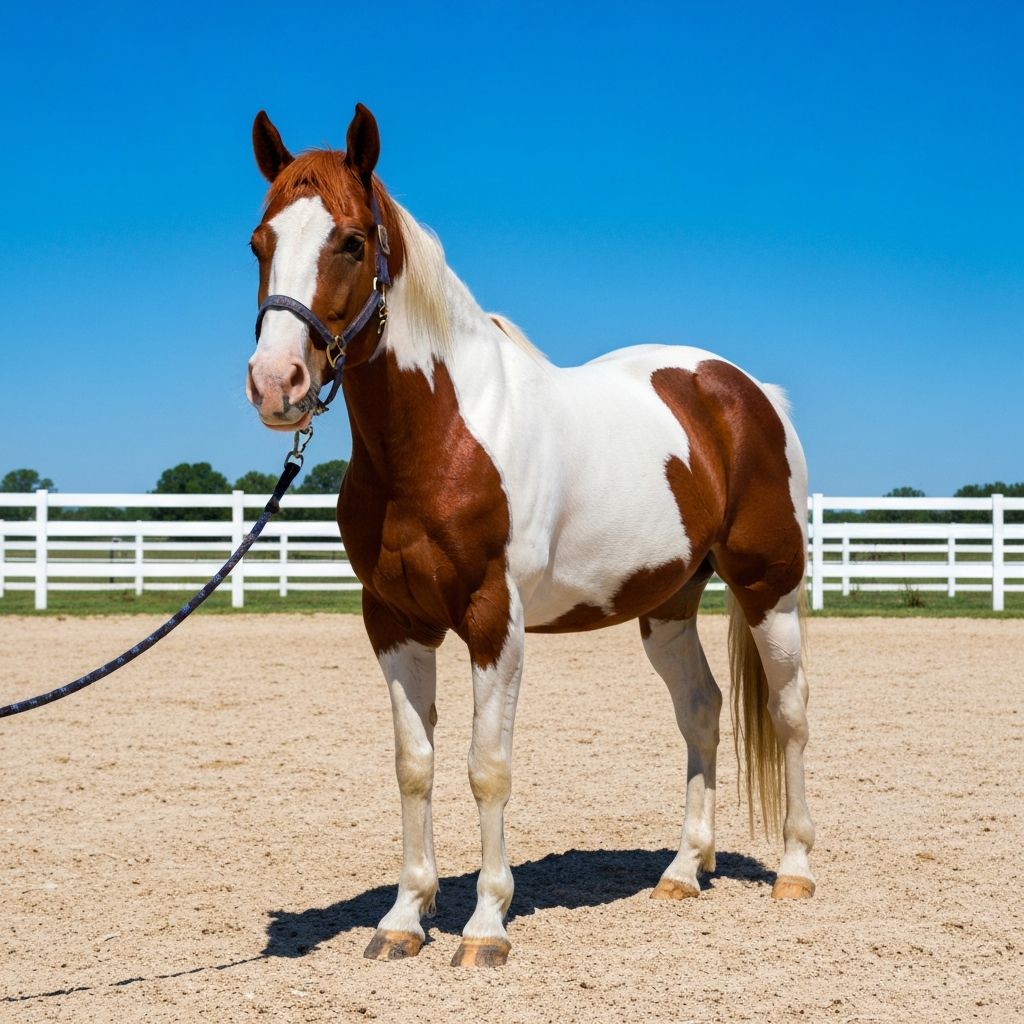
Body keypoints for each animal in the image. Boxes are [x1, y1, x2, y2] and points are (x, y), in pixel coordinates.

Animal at [245, 104, 815, 967]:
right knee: (701, 709)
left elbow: (487, 766)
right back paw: (683, 870)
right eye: (260, 241)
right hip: (668, 604)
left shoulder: (494, 622)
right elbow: (415, 766)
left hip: (767, 590)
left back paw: (795, 870)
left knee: (789, 710)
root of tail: (747, 391)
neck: (441, 436)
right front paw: (404, 918)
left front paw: (485, 927)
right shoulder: (393, 623)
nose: (277, 383)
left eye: (350, 241)